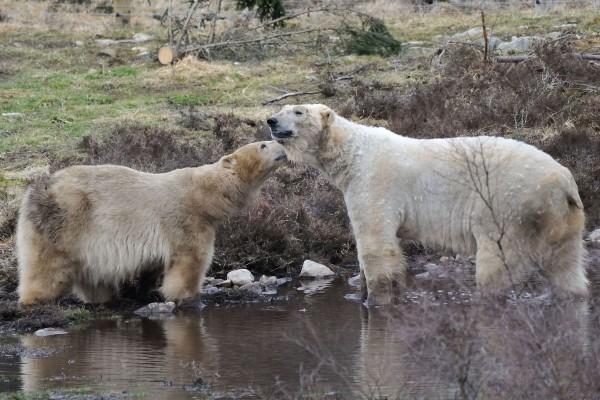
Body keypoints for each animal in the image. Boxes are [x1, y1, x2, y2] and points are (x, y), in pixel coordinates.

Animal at [14, 139, 286, 304]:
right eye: (263, 145)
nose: (281, 144)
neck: (203, 194)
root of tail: (34, 190)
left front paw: (147, 290)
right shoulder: (185, 220)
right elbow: (190, 259)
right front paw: (188, 296)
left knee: (94, 275)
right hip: (64, 219)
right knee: (47, 265)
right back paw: (36, 299)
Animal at [270, 103, 588, 306]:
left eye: (298, 111)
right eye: (283, 108)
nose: (271, 121)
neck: (352, 153)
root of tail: (563, 181)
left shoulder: (375, 183)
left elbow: (376, 243)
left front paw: (376, 300)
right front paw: (361, 294)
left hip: (510, 204)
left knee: (496, 262)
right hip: (564, 217)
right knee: (566, 266)